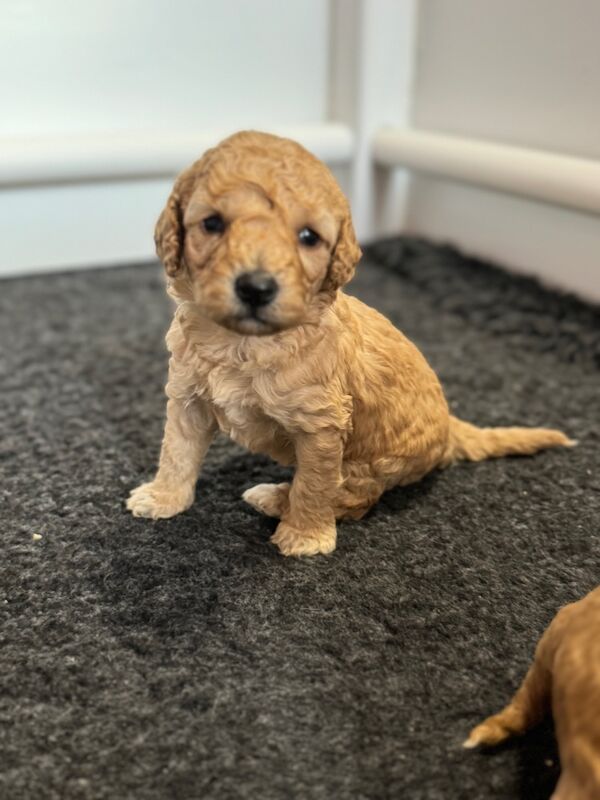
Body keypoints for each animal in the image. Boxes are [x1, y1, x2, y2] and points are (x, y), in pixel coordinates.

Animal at [127, 131, 572, 556]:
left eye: (308, 237)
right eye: (212, 224)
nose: (256, 287)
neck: (243, 343)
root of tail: (449, 425)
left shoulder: (321, 425)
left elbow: (314, 484)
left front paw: (305, 535)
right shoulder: (188, 396)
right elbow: (176, 451)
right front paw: (164, 497)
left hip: (378, 462)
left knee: (356, 496)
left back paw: (275, 498)